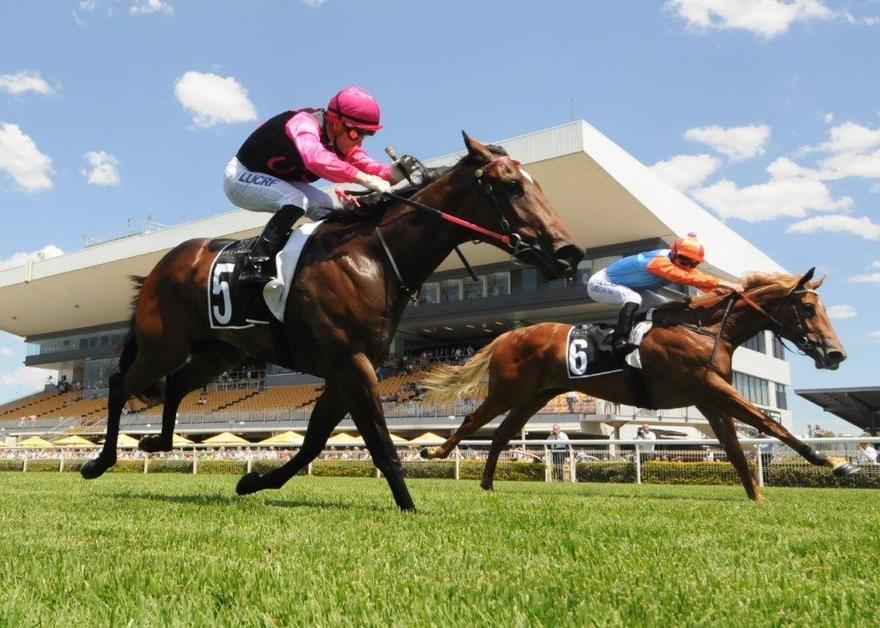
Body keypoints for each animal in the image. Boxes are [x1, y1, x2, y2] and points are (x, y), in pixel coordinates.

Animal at [80, 133, 585, 511]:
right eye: (511, 186)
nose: (570, 252)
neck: (374, 256)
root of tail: (159, 267)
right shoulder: (351, 363)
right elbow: (378, 441)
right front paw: (409, 506)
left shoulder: (348, 368)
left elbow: (314, 442)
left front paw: (253, 482)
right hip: (162, 343)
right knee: (121, 383)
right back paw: (99, 461)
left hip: (218, 353)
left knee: (176, 385)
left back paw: (157, 443)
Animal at [420, 269, 856, 500]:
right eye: (807, 308)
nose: (835, 354)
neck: (706, 329)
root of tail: (508, 335)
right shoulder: (711, 389)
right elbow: (768, 424)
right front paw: (835, 463)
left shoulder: (708, 397)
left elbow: (734, 448)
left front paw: (757, 495)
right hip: (508, 391)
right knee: (472, 421)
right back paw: (435, 453)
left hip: (536, 396)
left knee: (500, 433)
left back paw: (487, 483)